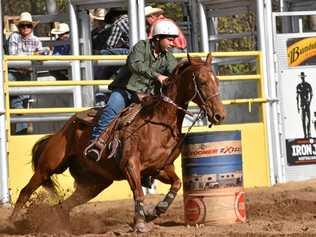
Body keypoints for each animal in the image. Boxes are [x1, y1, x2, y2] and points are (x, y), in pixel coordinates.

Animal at [10, 52, 225, 232]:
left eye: (217, 81)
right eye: (202, 82)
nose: (219, 115)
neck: (159, 123)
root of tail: (64, 128)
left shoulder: (160, 168)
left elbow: (177, 184)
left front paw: (155, 211)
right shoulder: (130, 165)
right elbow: (139, 193)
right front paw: (140, 224)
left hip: (95, 184)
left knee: (63, 206)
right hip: (48, 166)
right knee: (25, 191)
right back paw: (14, 222)